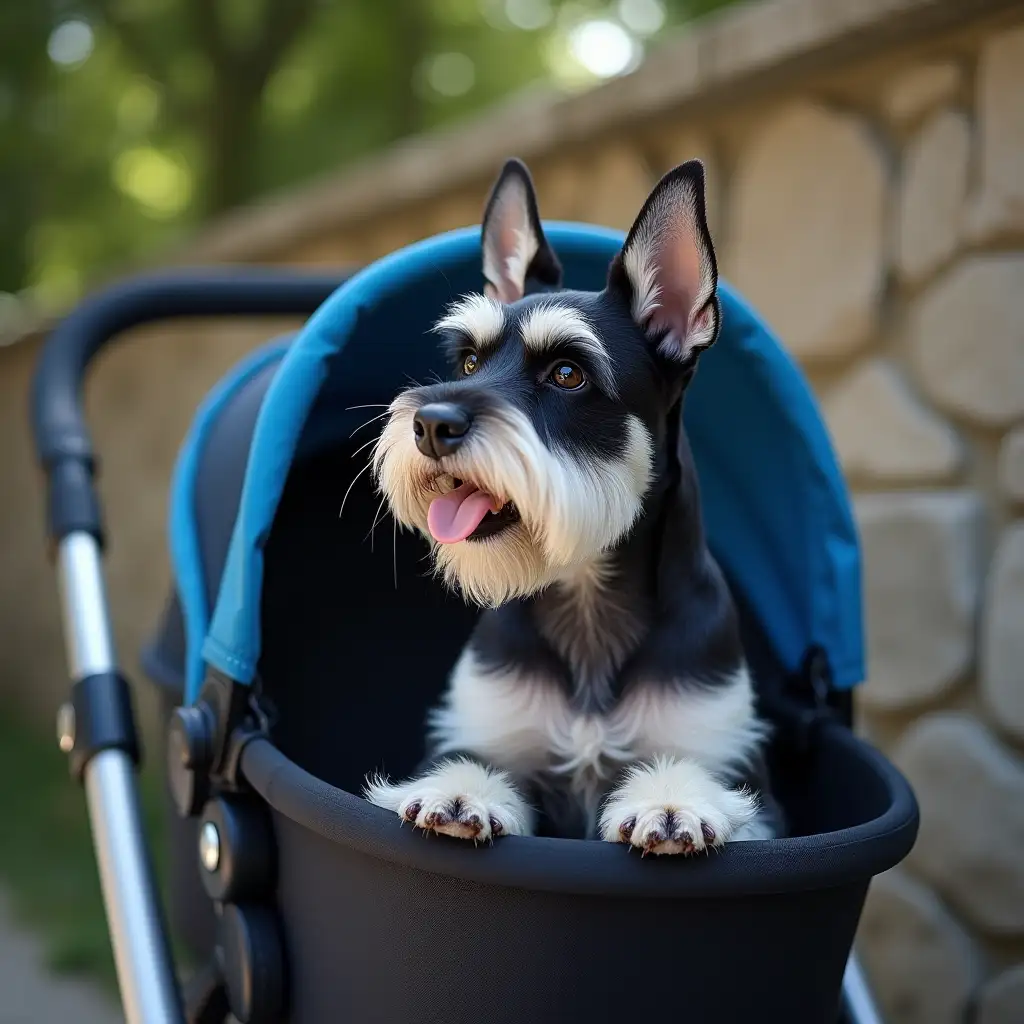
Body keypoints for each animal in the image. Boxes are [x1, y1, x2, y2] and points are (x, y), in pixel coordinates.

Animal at [364, 155, 778, 851]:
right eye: (469, 360)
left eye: (567, 374)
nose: (430, 425)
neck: (585, 599)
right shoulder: (487, 734)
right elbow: (474, 768)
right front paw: (461, 794)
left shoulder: (735, 767)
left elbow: (698, 781)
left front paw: (673, 803)